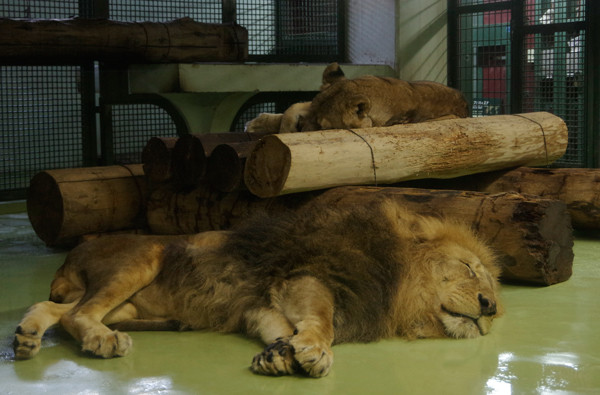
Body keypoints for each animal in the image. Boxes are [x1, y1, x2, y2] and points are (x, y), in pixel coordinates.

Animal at [14, 201, 502, 378]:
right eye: (468, 268)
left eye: (489, 284)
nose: (491, 306)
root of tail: (70, 256)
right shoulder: (308, 275)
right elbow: (322, 319)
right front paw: (316, 350)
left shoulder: (262, 303)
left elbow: (279, 327)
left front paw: (281, 354)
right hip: (145, 257)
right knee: (78, 314)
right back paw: (103, 340)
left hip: (129, 306)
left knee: (55, 307)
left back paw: (26, 337)